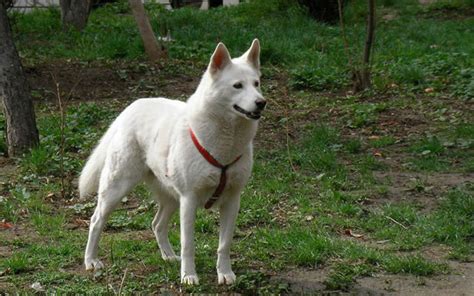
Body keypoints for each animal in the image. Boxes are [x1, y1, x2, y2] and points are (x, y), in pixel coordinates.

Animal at [80, 39, 266, 284]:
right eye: (237, 86)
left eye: (256, 83)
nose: (261, 102)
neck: (225, 142)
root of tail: (132, 106)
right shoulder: (189, 200)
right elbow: (188, 244)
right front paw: (189, 276)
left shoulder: (232, 201)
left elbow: (224, 244)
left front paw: (225, 273)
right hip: (116, 188)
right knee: (96, 221)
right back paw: (91, 261)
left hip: (170, 197)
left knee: (157, 224)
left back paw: (168, 256)